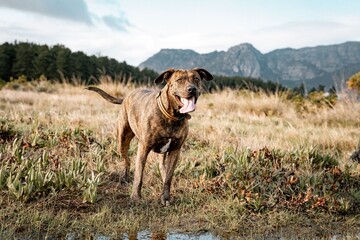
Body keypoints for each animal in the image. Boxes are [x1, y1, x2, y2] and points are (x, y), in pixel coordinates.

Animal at [86, 67, 212, 204]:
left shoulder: (175, 150)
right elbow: (139, 175)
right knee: (127, 160)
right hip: (122, 140)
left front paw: (165, 197)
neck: (171, 116)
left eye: (196, 79)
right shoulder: (143, 147)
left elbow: (168, 177)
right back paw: (125, 177)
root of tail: (126, 96)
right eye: (179, 80)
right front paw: (136, 196)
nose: (192, 89)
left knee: (162, 167)